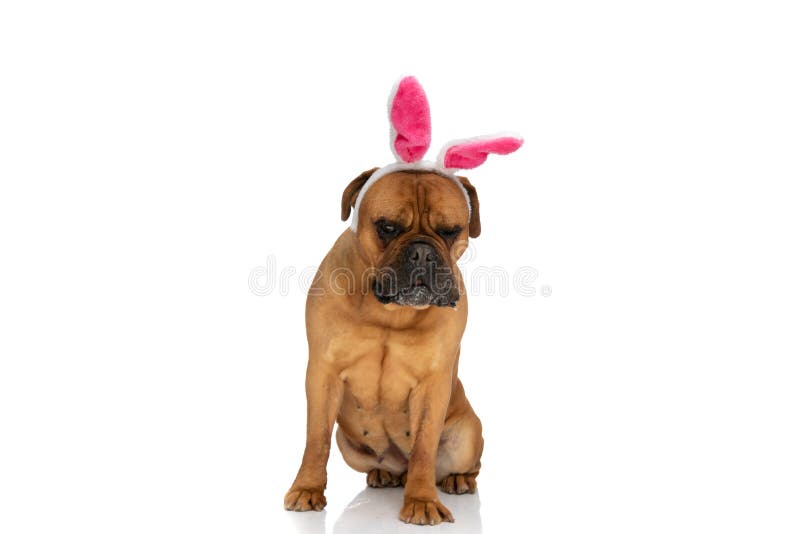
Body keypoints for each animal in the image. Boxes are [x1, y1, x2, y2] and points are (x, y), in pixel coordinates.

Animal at [284, 169, 484, 528]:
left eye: (450, 230)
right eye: (388, 227)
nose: (422, 253)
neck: (390, 312)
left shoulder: (433, 383)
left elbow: (423, 447)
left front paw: (422, 501)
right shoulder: (322, 372)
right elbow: (316, 439)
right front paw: (307, 488)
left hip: (469, 433)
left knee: (466, 465)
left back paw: (458, 479)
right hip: (348, 445)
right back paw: (384, 475)